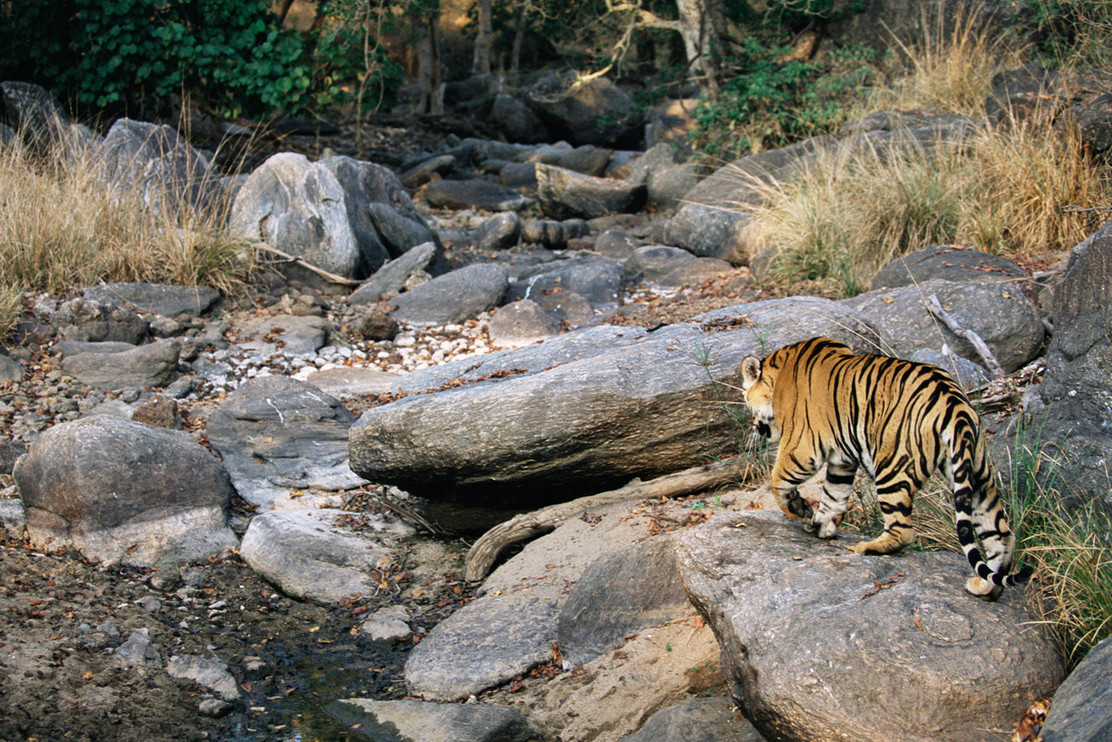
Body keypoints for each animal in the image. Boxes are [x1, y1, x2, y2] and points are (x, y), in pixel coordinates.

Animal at [742, 335, 1027, 596]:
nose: (754, 427)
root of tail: (955, 405)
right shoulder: (842, 460)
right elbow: (834, 495)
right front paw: (821, 525)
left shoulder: (800, 447)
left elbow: (778, 481)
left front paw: (799, 509)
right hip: (976, 474)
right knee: (1001, 534)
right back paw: (985, 588)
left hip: (892, 468)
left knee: (904, 531)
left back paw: (868, 547)